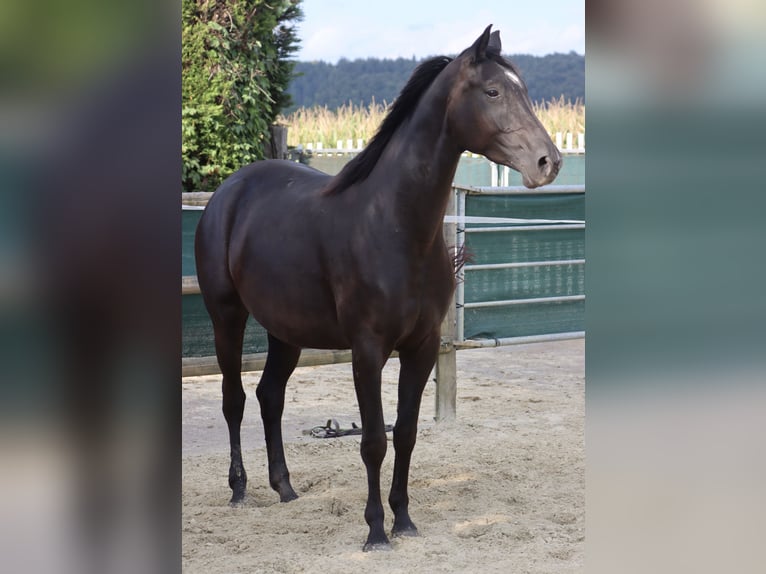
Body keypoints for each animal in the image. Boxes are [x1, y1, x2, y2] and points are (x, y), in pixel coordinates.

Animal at [195, 27, 560, 552]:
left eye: (524, 90)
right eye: (493, 91)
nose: (548, 162)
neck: (394, 224)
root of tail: (228, 192)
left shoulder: (421, 348)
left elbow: (405, 433)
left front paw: (403, 520)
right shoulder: (367, 350)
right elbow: (372, 440)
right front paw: (374, 531)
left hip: (286, 331)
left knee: (270, 397)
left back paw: (285, 487)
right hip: (227, 315)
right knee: (235, 399)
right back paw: (240, 489)